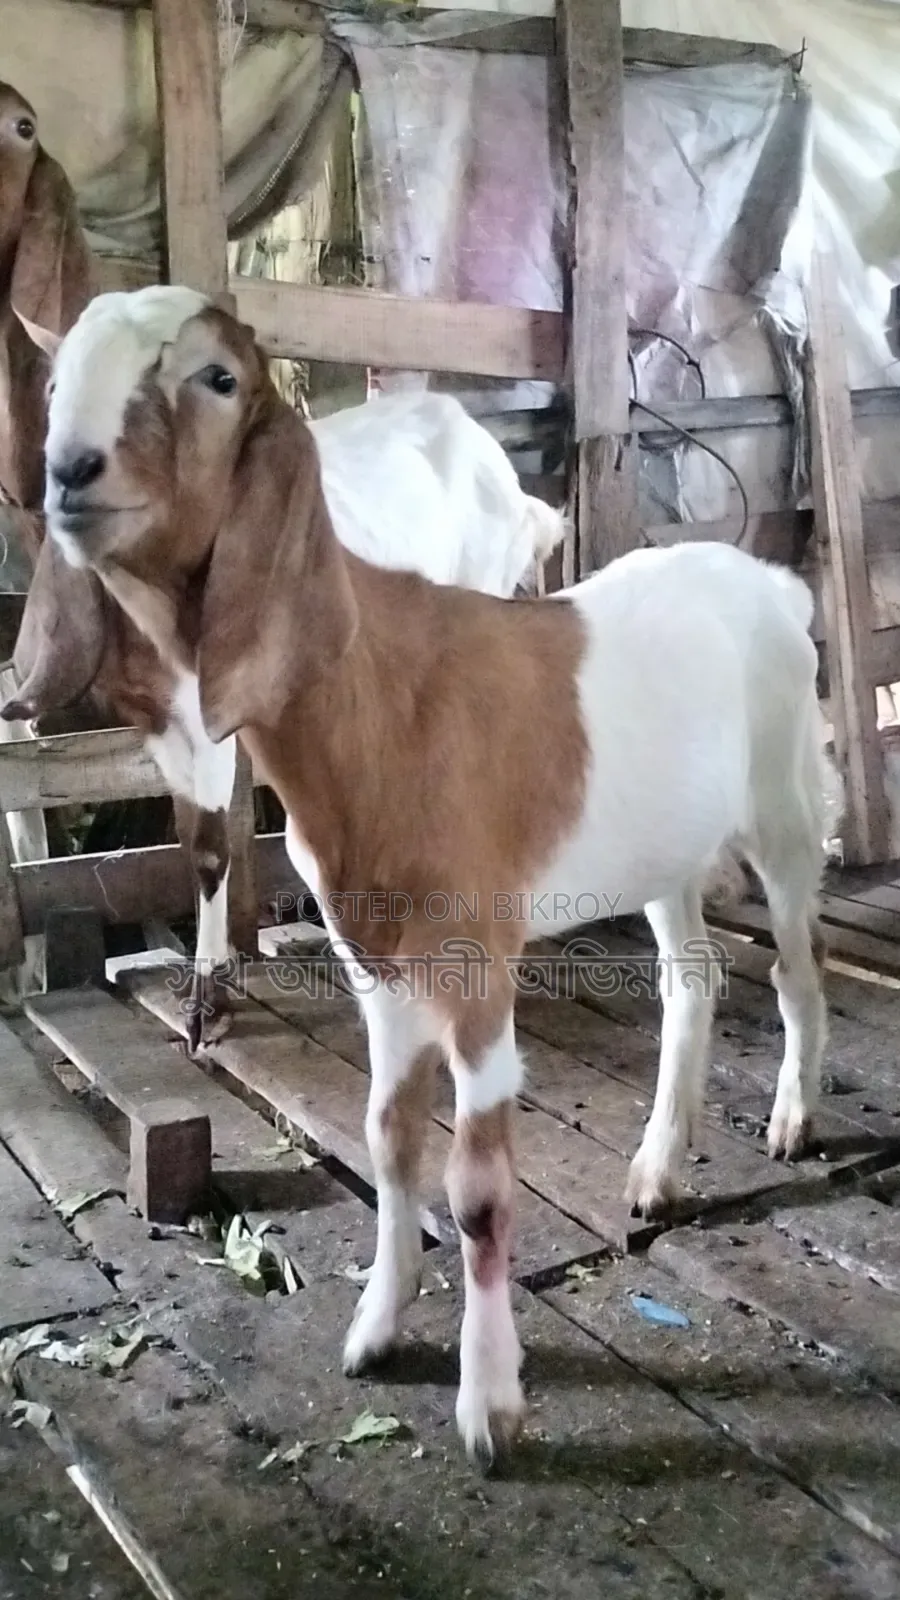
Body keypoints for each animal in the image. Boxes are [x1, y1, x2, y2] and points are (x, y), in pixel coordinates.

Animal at [4, 286, 564, 1040]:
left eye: (219, 379)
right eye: (56, 385)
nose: (70, 470)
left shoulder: (203, 711)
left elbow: (214, 846)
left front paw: (208, 998)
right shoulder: (158, 720)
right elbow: (193, 841)